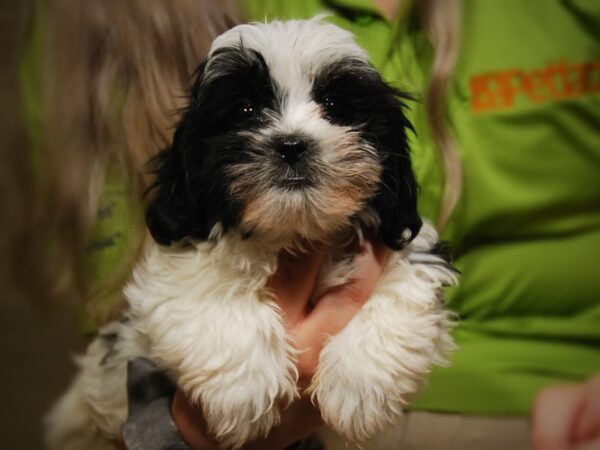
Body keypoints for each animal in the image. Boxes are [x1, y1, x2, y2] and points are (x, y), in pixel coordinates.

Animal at [45, 18, 454, 450]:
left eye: (334, 105)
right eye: (245, 109)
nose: (291, 145)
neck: (293, 232)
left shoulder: (409, 249)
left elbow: (403, 289)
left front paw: (358, 386)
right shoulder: (181, 259)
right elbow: (210, 295)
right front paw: (246, 391)